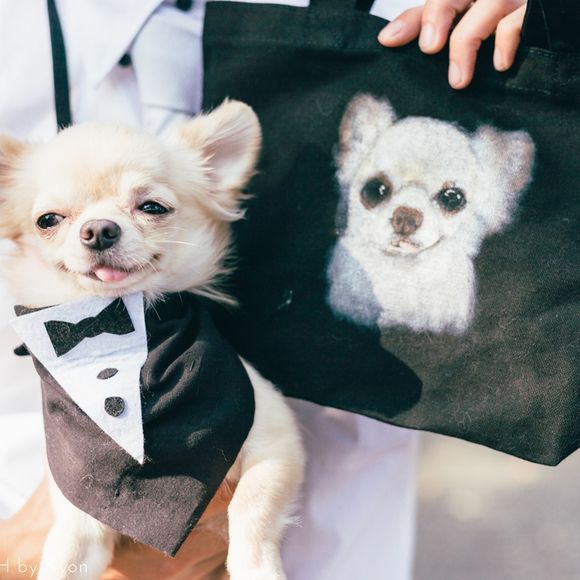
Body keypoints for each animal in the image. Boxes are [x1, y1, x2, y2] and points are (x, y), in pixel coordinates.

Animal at [0, 100, 304, 580]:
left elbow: (252, 508)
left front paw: (256, 567)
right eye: (48, 220)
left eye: (152, 207)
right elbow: (66, 552)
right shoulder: (77, 501)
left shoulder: (278, 439)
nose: (99, 229)